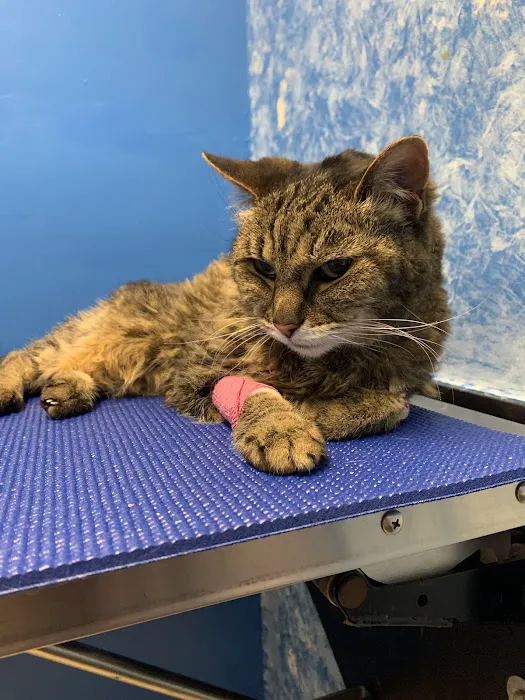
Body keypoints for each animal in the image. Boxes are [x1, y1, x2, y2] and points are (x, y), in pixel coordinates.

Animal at [0, 136, 449, 475]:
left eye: (334, 269)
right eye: (263, 268)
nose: (283, 324)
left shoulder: (407, 378)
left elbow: (394, 405)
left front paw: (318, 410)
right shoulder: (195, 375)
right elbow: (256, 392)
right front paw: (283, 427)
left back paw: (67, 390)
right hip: (103, 336)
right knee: (29, 354)